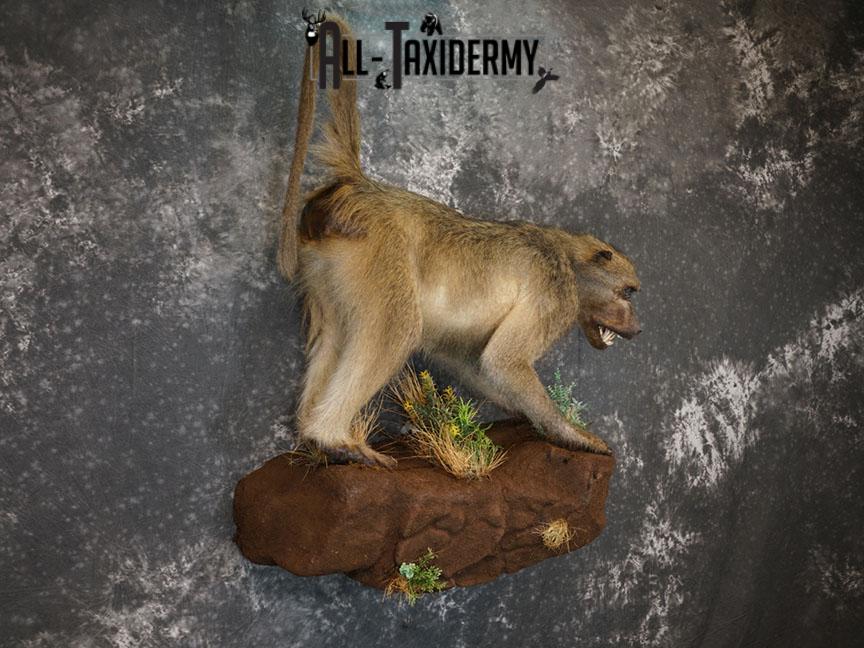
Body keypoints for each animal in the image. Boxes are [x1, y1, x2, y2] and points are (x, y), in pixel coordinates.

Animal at [278, 16, 642, 468]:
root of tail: (361, 191)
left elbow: (473, 361)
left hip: (325, 267)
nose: (638, 326)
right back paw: (331, 437)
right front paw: (570, 433)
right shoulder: (555, 292)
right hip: (380, 253)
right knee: (397, 328)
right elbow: (503, 362)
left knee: (335, 333)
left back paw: (315, 437)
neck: (566, 255)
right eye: (628, 292)